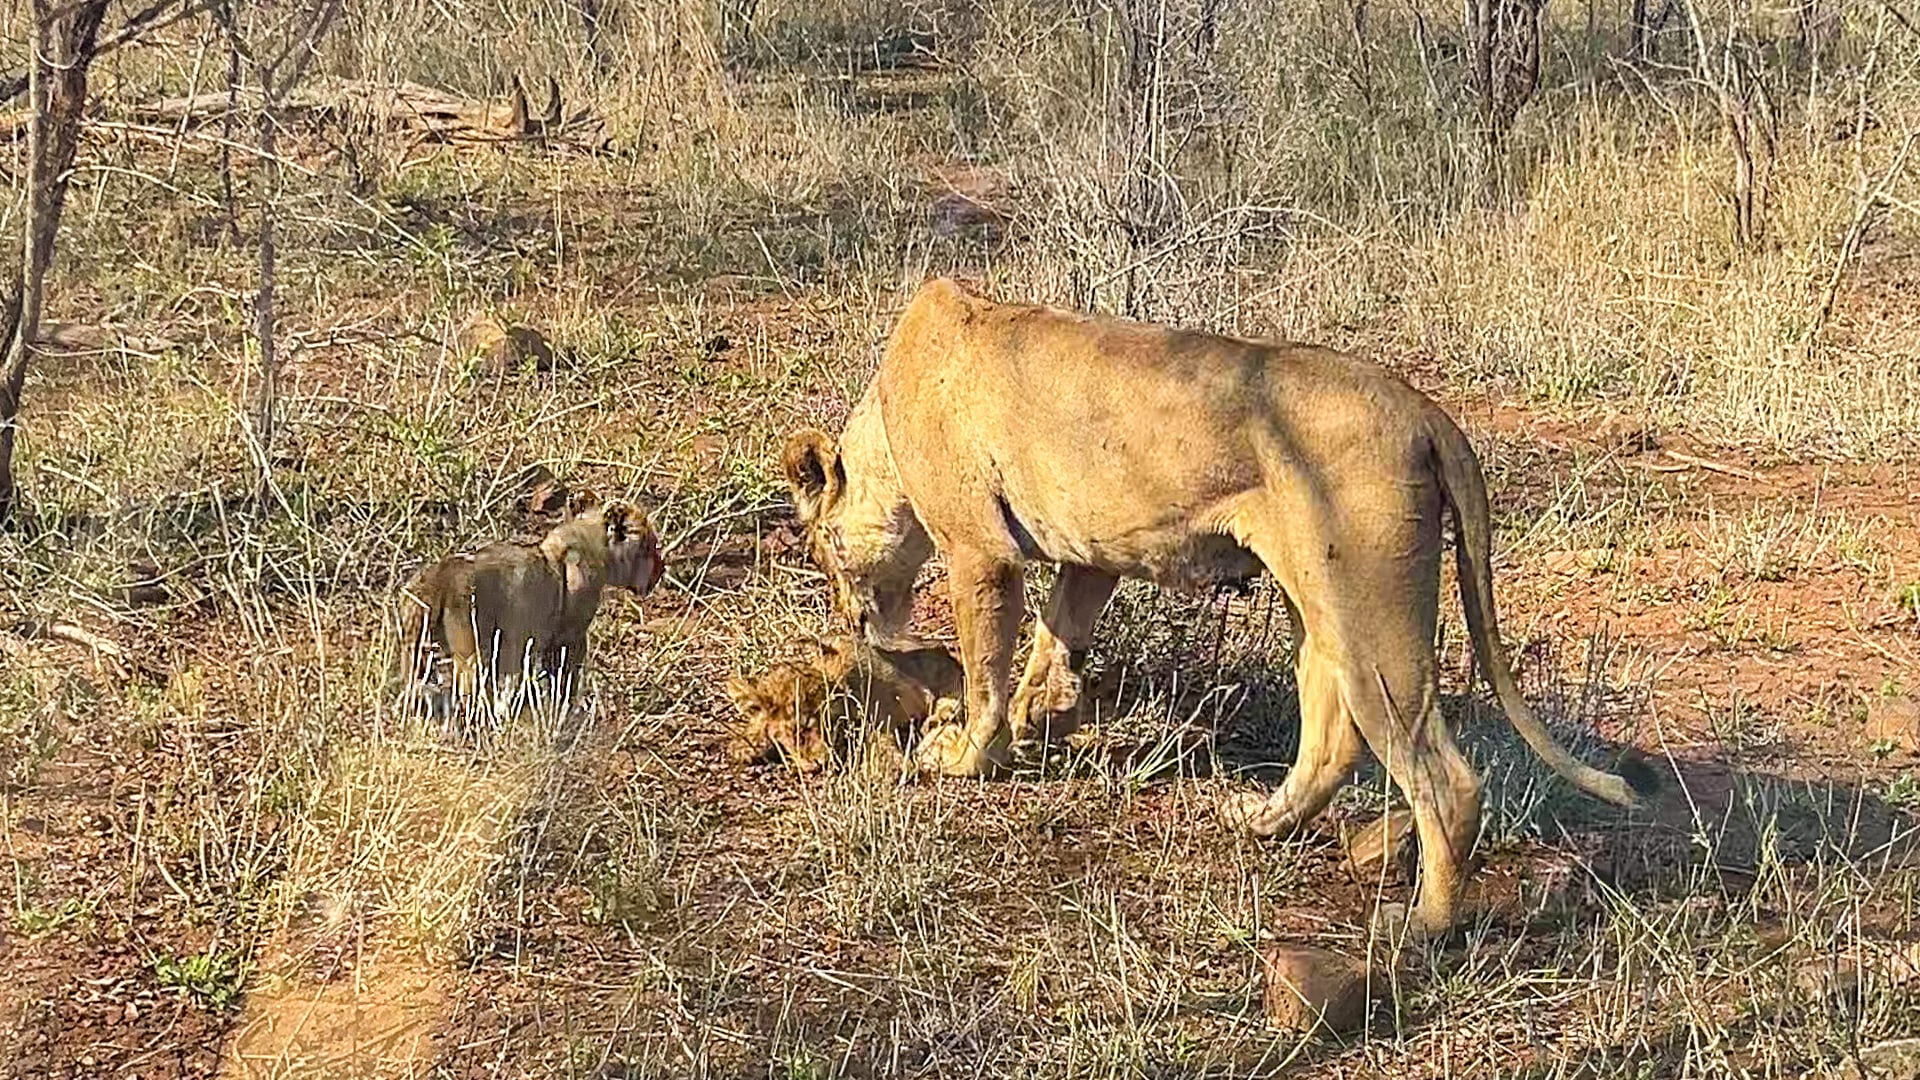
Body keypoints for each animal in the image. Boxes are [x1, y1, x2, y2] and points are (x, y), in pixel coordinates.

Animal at [394, 492, 663, 717]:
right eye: (650, 546)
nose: (662, 569)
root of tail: (440, 576)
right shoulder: (568, 638)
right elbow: (565, 679)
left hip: (415, 650)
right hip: (471, 652)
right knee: (468, 695)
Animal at [726, 635, 963, 775]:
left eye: (809, 727)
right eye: (787, 737)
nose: (816, 764)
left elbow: (878, 733)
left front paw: (889, 765)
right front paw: (746, 744)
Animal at [780, 276, 1648, 935]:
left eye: (815, 548)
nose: (847, 618)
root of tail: (1425, 410)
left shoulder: (978, 550)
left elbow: (987, 666)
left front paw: (962, 753)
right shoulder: (1091, 554)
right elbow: (1055, 640)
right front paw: (1043, 716)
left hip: (1370, 615)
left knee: (1445, 780)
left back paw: (1424, 926)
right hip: (1321, 608)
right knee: (1332, 739)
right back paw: (1261, 821)